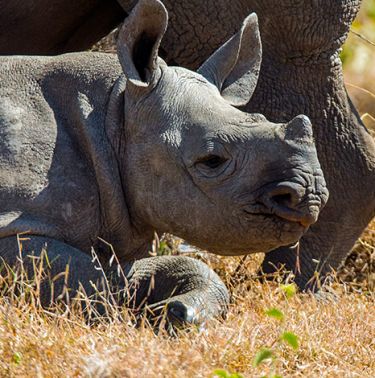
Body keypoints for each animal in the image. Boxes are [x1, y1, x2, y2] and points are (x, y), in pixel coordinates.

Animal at [0, 0, 328, 324]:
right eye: (212, 161)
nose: (311, 195)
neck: (113, 113)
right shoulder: (19, 215)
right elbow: (90, 281)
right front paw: (134, 318)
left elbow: (160, 271)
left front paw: (177, 312)